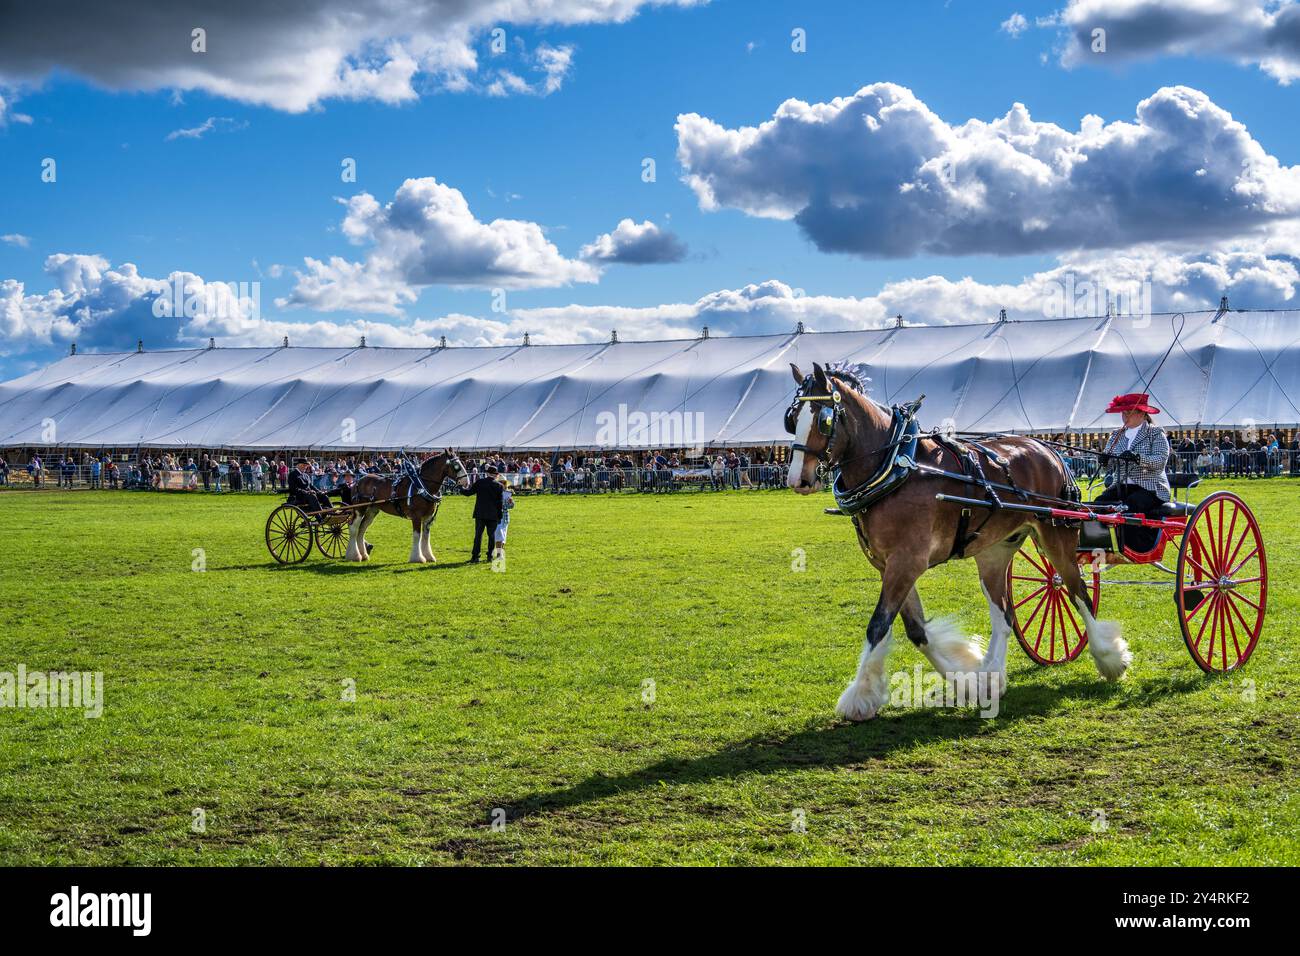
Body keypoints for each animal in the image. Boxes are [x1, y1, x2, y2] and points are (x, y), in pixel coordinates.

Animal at [780, 361, 1128, 723]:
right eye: (791, 418)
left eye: (824, 419)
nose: (797, 479)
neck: (894, 467)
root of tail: (1049, 449)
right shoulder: (888, 565)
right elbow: (917, 630)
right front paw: (969, 683)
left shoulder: (907, 562)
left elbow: (878, 626)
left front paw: (859, 697)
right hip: (994, 551)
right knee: (1004, 615)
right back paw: (991, 677)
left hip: (1055, 535)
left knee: (1078, 593)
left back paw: (1110, 658)